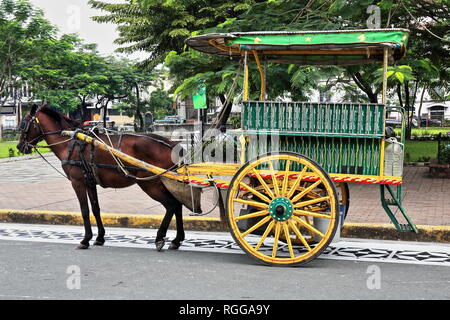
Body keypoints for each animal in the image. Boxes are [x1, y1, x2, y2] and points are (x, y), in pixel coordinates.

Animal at [16, 104, 184, 250]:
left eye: (23, 124)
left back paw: (160, 237)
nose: (19, 146)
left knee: (171, 205)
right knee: (177, 205)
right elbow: (95, 208)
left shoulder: (77, 182)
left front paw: (85, 240)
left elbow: (84, 210)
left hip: (151, 184)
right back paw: (177, 240)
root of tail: (170, 144)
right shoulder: (90, 182)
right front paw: (99, 237)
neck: (70, 142)